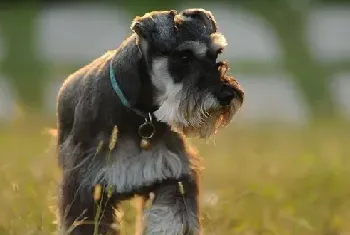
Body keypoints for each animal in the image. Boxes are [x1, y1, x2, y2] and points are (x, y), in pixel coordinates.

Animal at [56, 8, 245, 234]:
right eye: (184, 56)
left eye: (216, 54)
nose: (227, 95)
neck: (139, 116)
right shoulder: (86, 187)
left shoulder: (174, 177)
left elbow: (171, 218)